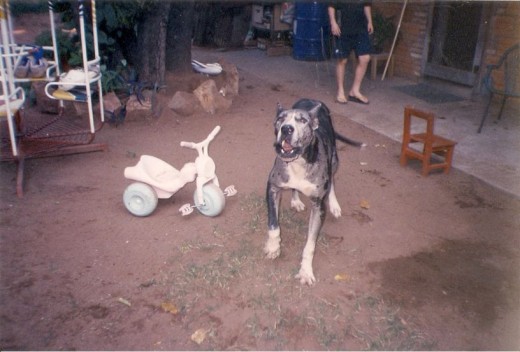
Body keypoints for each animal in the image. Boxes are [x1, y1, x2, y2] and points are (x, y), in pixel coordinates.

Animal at [264, 97, 362, 284]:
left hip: (334, 159)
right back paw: (296, 200)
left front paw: (305, 271)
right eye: (280, 119)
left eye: (302, 120)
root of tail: (312, 100)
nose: (286, 128)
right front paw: (273, 247)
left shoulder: (318, 207)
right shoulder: (272, 188)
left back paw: (334, 205)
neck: (298, 162)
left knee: (332, 181)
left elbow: (310, 245)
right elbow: (274, 225)